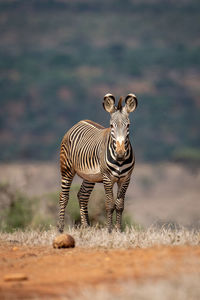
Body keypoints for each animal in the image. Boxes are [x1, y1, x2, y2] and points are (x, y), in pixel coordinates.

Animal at [57, 92, 138, 233]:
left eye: (128, 125)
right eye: (111, 126)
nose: (120, 153)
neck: (119, 161)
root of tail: (79, 122)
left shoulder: (126, 179)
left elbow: (120, 205)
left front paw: (118, 231)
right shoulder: (107, 178)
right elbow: (110, 204)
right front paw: (109, 230)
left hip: (89, 176)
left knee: (82, 196)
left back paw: (86, 227)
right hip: (66, 169)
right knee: (64, 196)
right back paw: (61, 228)